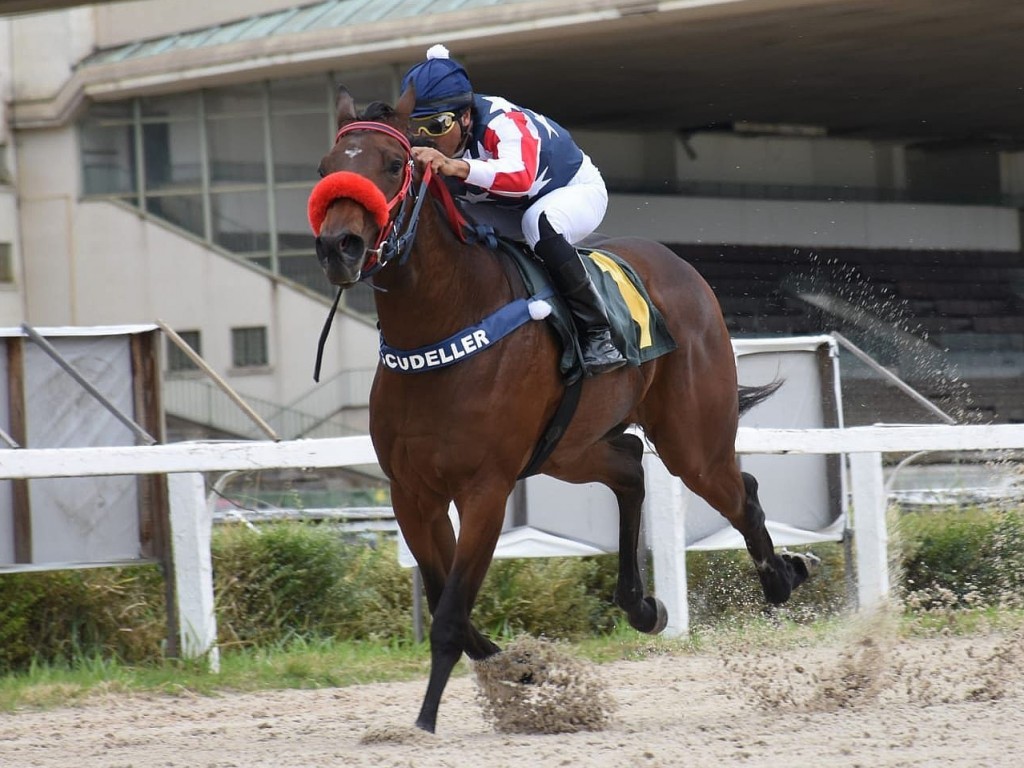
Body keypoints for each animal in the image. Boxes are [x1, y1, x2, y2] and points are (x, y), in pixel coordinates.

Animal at [307, 85, 811, 733]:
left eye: (395, 165)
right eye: (327, 169)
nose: (337, 247)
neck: (443, 326)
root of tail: (684, 268)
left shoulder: (486, 489)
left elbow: (450, 614)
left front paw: (424, 721)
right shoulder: (412, 492)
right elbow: (452, 607)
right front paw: (525, 669)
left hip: (691, 440)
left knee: (739, 490)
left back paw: (780, 578)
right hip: (568, 448)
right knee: (629, 466)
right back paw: (641, 604)